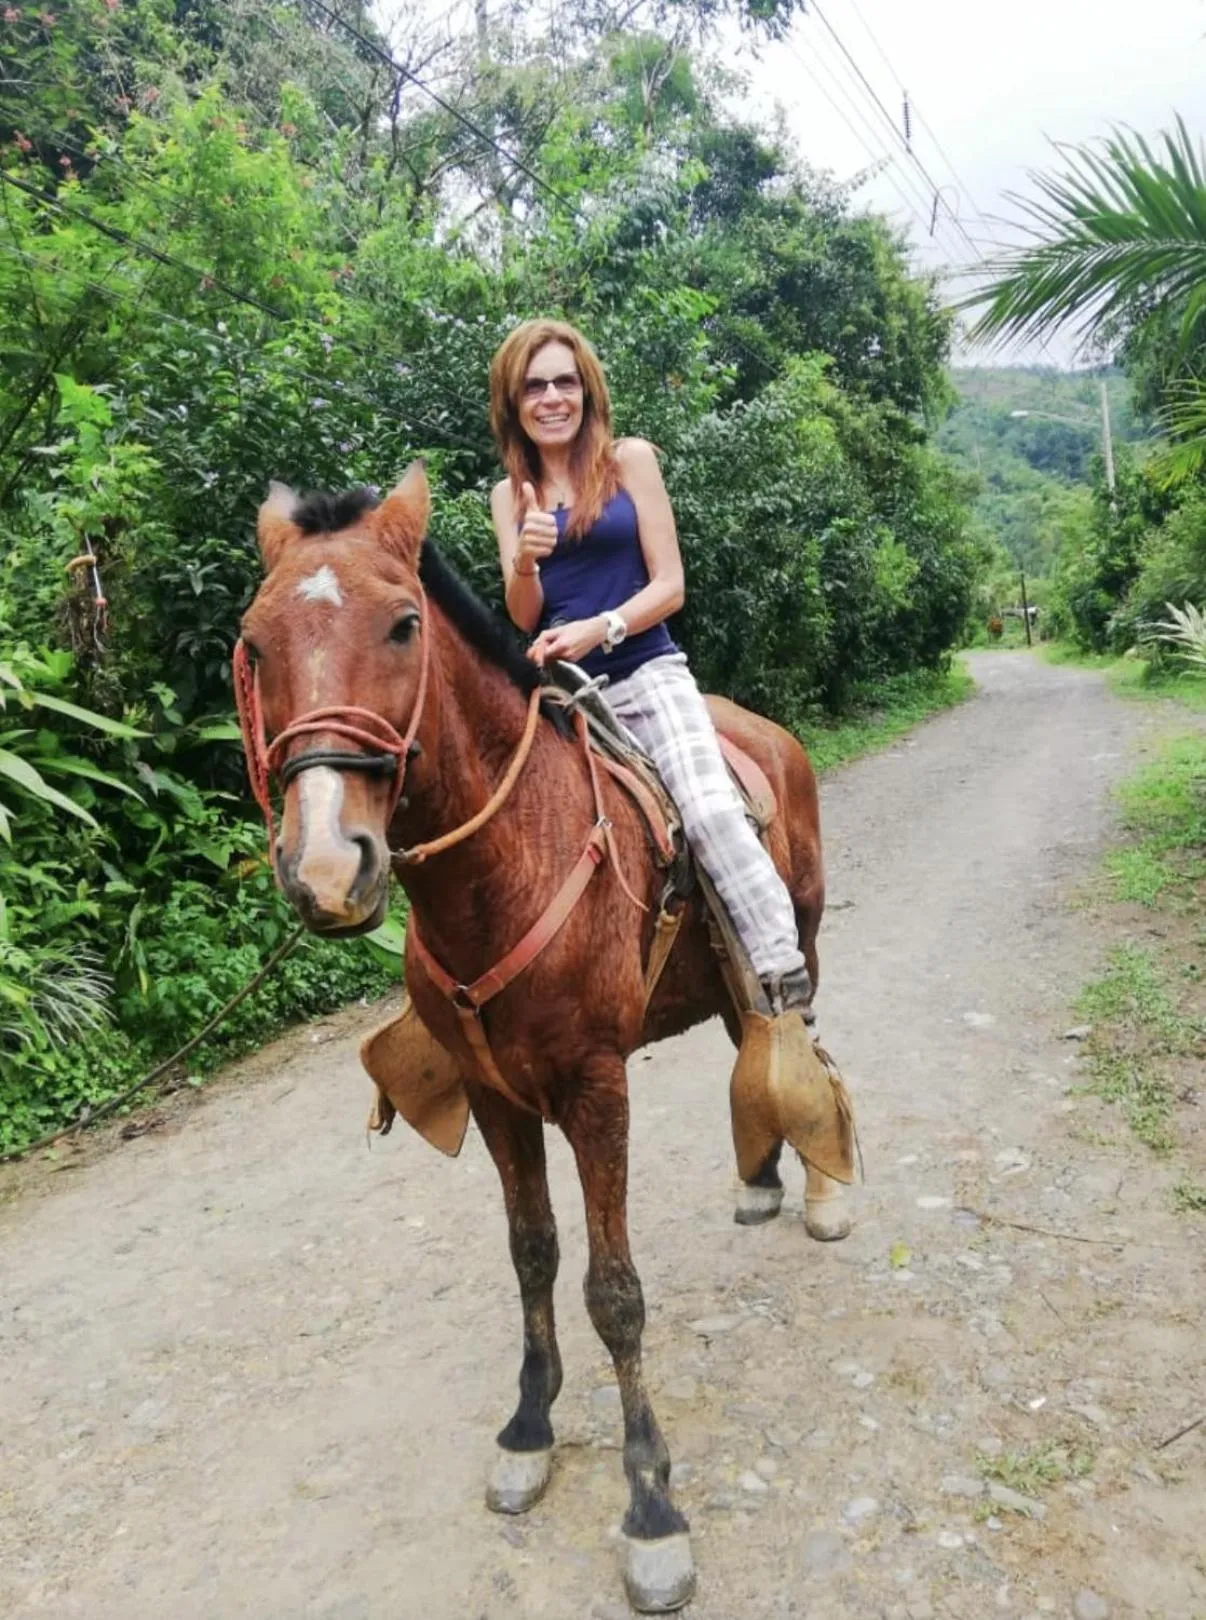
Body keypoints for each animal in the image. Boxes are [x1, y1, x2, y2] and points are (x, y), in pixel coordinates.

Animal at [236, 464, 848, 1613]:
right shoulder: (494, 1095)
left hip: (805, 941)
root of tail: (767, 733)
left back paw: (826, 1195)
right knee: (751, 1034)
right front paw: (528, 1427)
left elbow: (614, 1293)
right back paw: (760, 1178)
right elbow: (532, 1256)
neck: (506, 865)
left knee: (804, 1038)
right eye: (254, 644)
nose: (328, 866)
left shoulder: (595, 1089)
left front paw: (651, 1508)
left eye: (402, 625)